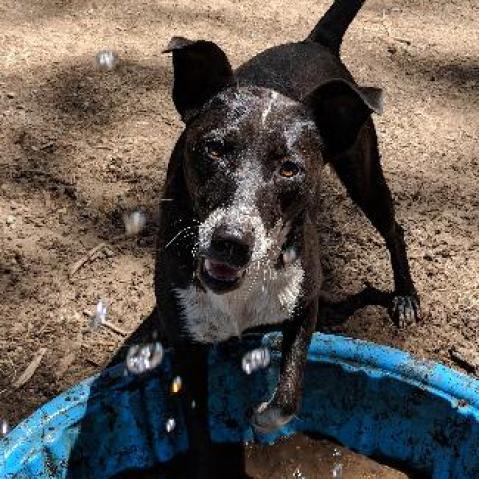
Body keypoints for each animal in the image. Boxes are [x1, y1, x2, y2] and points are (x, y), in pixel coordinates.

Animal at [154, 0, 420, 474]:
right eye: (214, 148)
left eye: (289, 168)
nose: (231, 242)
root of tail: (314, 43)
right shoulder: (185, 345)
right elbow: (198, 433)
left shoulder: (304, 304)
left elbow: (289, 397)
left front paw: (261, 418)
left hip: (364, 174)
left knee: (394, 229)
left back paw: (405, 296)